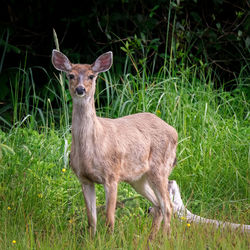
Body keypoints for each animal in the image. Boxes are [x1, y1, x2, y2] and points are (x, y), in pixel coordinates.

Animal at [51, 49, 179, 240]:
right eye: (70, 75)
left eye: (91, 76)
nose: (80, 89)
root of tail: (174, 131)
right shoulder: (84, 178)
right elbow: (92, 219)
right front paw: (91, 241)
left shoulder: (111, 175)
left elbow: (109, 219)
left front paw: (109, 240)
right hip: (138, 178)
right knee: (157, 206)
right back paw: (151, 240)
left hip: (160, 168)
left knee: (168, 206)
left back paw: (164, 239)